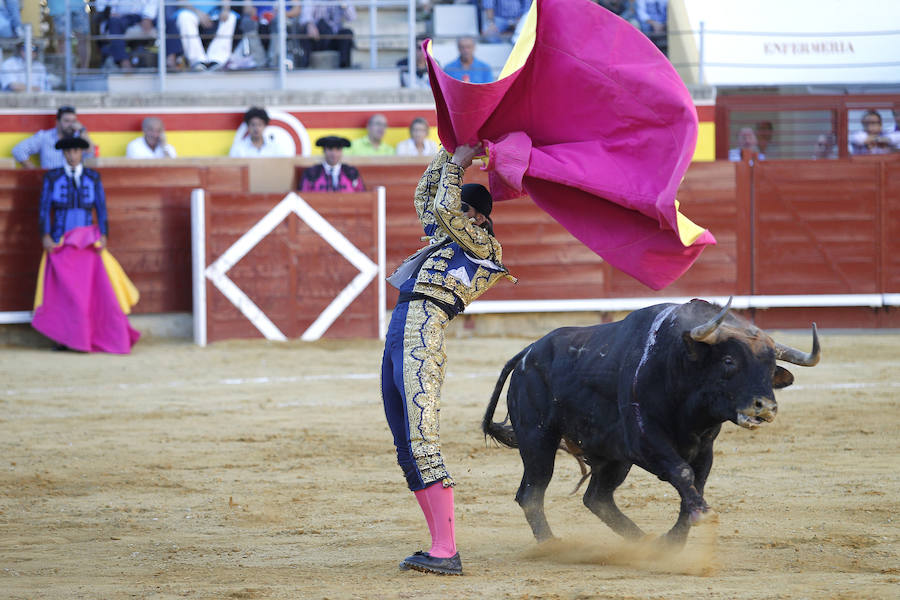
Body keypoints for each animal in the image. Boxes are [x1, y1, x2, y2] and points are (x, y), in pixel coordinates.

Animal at [482, 298, 820, 548]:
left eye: (771, 367)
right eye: (729, 361)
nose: (766, 407)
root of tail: (527, 352)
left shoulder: (704, 448)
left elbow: (695, 483)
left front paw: (674, 541)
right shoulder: (645, 440)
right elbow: (682, 473)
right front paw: (701, 517)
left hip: (611, 457)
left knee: (597, 498)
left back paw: (643, 543)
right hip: (538, 438)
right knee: (532, 493)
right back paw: (551, 545)